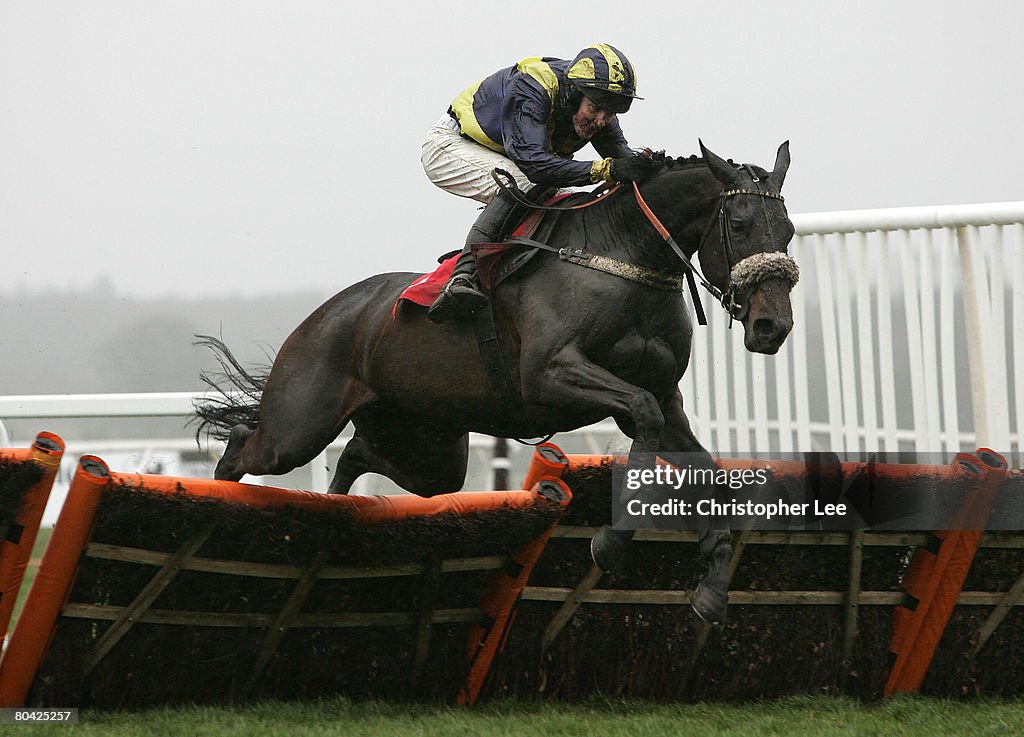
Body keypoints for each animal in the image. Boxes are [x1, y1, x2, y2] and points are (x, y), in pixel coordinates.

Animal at [193, 139, 798, 622]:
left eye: (789, 230)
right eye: (739, 225)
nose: (773, 326)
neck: (620, 254)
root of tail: (324, 313)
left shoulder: (666, 398)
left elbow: (707, 472)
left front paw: (712, 588)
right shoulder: (551, 375)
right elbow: (641, 413)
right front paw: (610, 540)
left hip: (428, 446)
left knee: (360, 455)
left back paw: (337, 507)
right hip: (300, 423)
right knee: (246, 445)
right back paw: (222, 501)